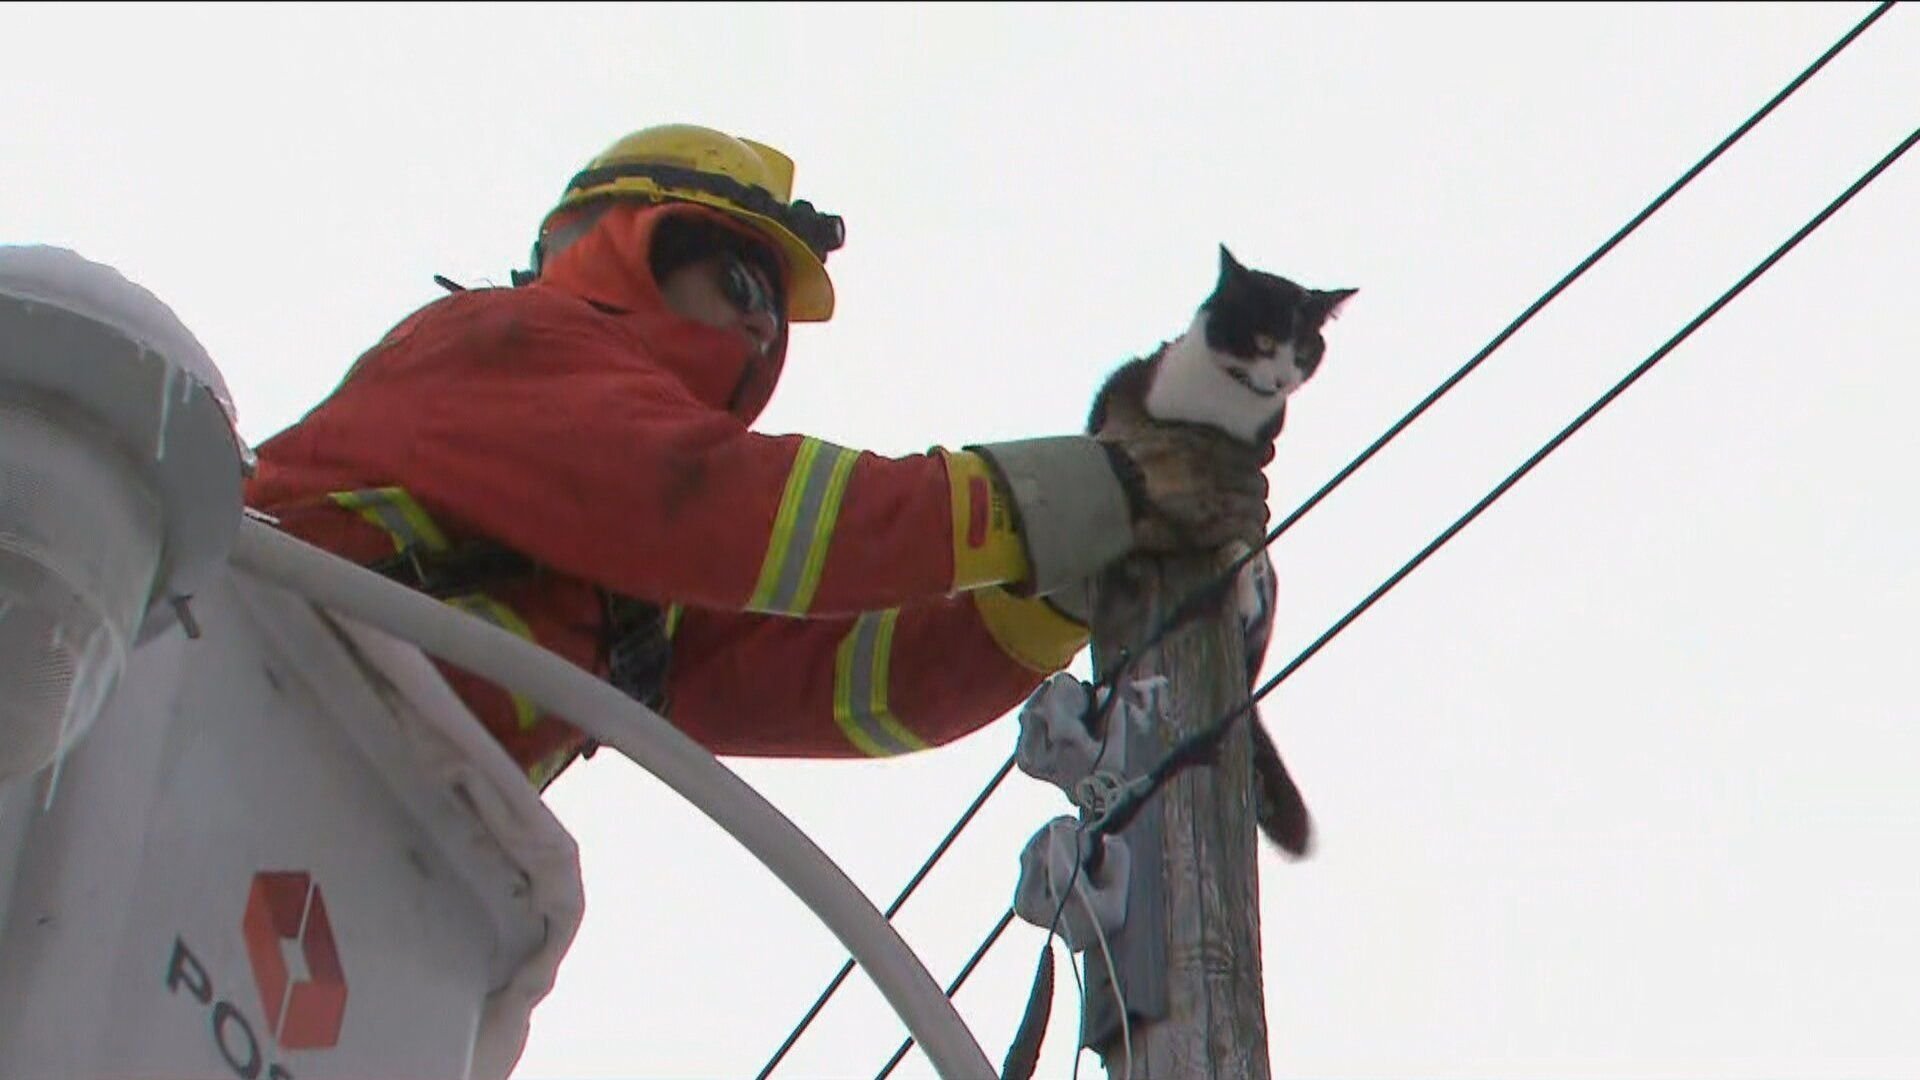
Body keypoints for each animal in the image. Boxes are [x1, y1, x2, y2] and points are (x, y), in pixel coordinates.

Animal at [1090, 244, 1359, 857]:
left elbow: (1245, 526)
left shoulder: (1257, 458)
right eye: (1262, 339)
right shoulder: (1133, 387)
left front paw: (1239, 577)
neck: (1226, 405)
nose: (1281, 377)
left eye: (1303, 351)